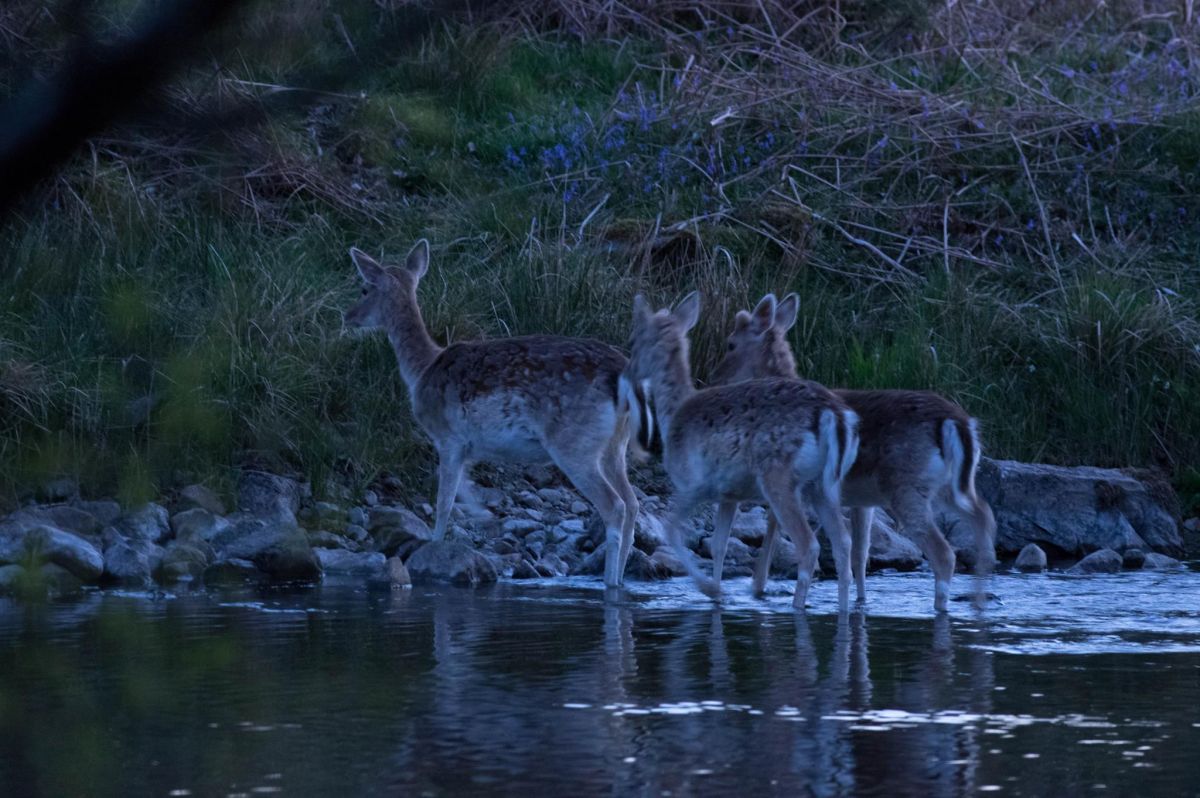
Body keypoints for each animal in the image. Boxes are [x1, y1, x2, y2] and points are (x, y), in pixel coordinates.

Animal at [343, 241, 643, 585]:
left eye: (364, 289)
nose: (347, 316)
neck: (422, 371)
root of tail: (623, 373)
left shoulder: (448, 438)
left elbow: (444, 502)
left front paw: (434, 545)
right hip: (614, 445)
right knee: (633, 502)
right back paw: (620, 578)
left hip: (574, 442)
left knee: (615, 505)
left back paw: (609, 581)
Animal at [619, 291, 864, 609]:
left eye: (633, 341)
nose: (626, 372)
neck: (673, 414)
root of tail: (835, 417)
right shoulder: (729, 494)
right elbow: (719, 545)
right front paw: (717, 593)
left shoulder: (695, 483)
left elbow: (672, 529)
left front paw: (709, 589)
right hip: (822, 485)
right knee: (843, 543)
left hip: (779, 475)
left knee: (809, 544)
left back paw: (797, 605)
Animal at [705, 292, 998, 609]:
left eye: (731, 344)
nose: (714, 378)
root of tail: (958, 424)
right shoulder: (861, 500)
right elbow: (860, 553)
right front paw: (860, 600)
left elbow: (776, 527)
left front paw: (758, 586)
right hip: (950, 486)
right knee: (984, 518)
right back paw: (979, 601)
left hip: (907, 485)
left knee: (944, 552)